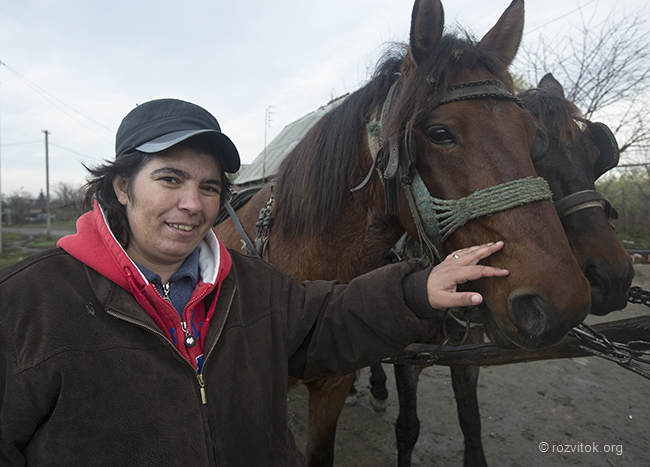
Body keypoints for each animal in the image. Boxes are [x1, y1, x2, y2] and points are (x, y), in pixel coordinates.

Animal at [384, 73, 632, 467]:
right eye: (538, 157)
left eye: (594, 157)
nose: (615, 277)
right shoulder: (406, 357)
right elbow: (407, 428)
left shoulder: (468, 353)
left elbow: (470, 419)